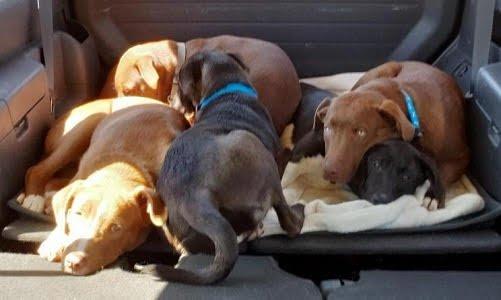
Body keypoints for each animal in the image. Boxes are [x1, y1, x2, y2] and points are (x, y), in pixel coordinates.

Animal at [23, 97, 188, 276]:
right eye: (78, 213)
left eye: (116, 227)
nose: (73, 262)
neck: (125, 165)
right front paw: (55, 241)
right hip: (86, 125)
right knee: (37, 170)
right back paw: (34, 199)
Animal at [140, 51, 304, 284]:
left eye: (178, 83)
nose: (170, 100)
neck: (226, 91)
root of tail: (192, 197)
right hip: (250, 144)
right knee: (288, 222)